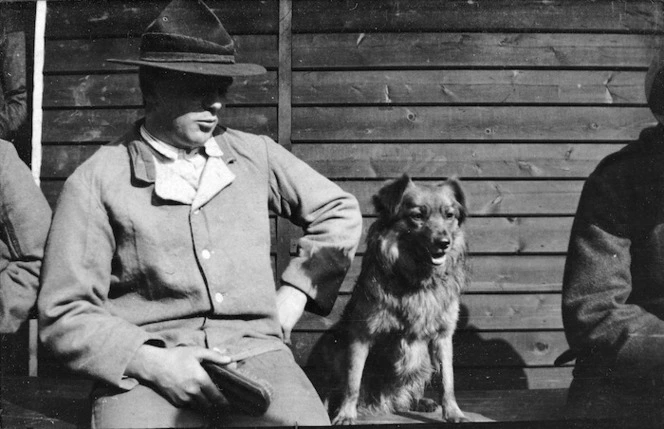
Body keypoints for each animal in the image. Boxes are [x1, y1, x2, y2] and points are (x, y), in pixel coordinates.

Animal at [330, 174, 470, 424]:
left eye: (449, 215)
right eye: (417, 215)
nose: (444, 243)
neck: (418, 281)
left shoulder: (443, 336)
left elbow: (448, 380)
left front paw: (453, 412)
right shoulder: (361, 334)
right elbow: (353, 381)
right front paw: (346, 413)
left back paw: (419, 401)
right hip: (338, 352)